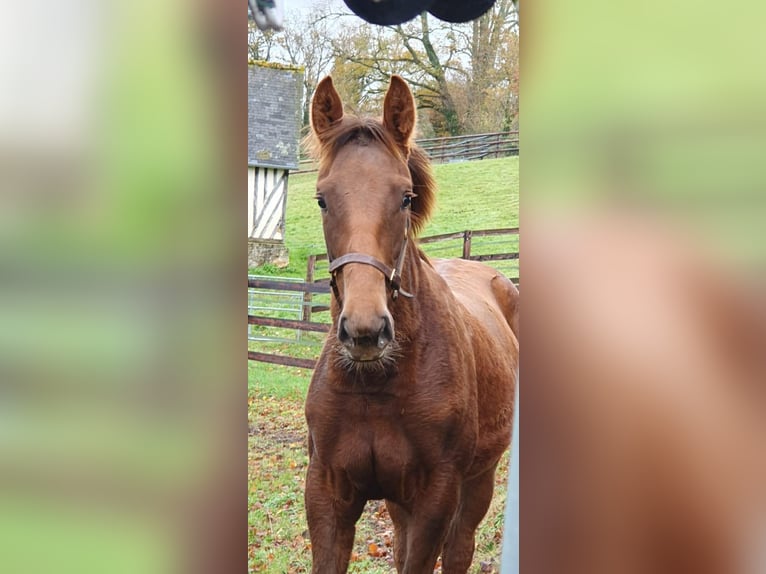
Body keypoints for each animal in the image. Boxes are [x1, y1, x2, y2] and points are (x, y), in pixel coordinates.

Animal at [303, 75, 519, 574]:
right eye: (322, 198)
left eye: (405, 197)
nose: (365, 332)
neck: (376, 386)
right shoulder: (326, 493)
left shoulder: (435, 499)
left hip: (478, 480)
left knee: (460, 549)